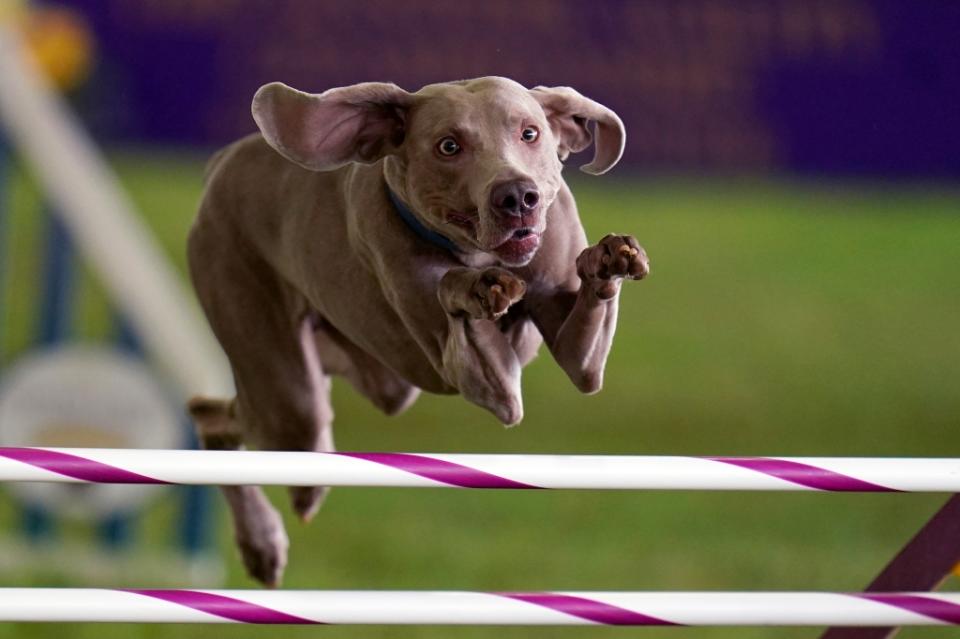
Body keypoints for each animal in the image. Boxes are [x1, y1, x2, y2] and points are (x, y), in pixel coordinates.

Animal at [186, 75, 652, 584]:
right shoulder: (483, 379)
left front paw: (609, 259)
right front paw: (474, 289)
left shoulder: (579, 358)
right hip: (286, 394)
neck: (478, 253)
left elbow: (582, 360)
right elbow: (460, 311)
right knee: (215, 417)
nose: (516, 196)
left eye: (529, 133)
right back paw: (262, 543)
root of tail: (221, 163)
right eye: (449, 146)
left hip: (366, 384)